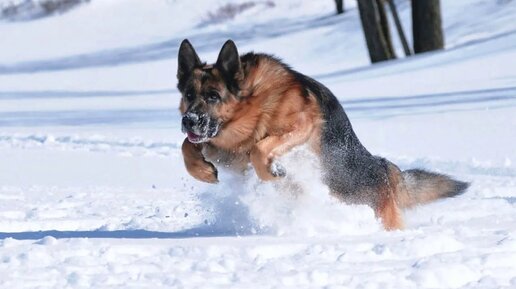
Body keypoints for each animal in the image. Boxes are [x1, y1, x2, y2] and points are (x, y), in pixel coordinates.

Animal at [176, 38, 468, 230]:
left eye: (213, 96)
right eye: (189, 95)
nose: (188, 120)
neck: (252, 99)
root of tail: (386, 170)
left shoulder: (302, 125)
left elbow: (260, 147)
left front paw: (274, 171)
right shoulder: (226, 152)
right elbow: (186, 146)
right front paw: (202, 171)